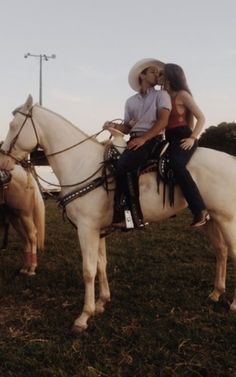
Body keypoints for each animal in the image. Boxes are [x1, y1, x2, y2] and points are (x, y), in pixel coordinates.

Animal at [0, 94, 235, 332]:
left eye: (13, 126)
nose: (3, 161)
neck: (81, 164)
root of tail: (231, 160)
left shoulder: (86, 229)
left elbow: (88, 270)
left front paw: (84, 316)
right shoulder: (98, 230)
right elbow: (101, 264)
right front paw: (101, 303)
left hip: (227, 219)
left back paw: (232, 304)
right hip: (209, 218)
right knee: (221, 251)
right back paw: (216, 293)